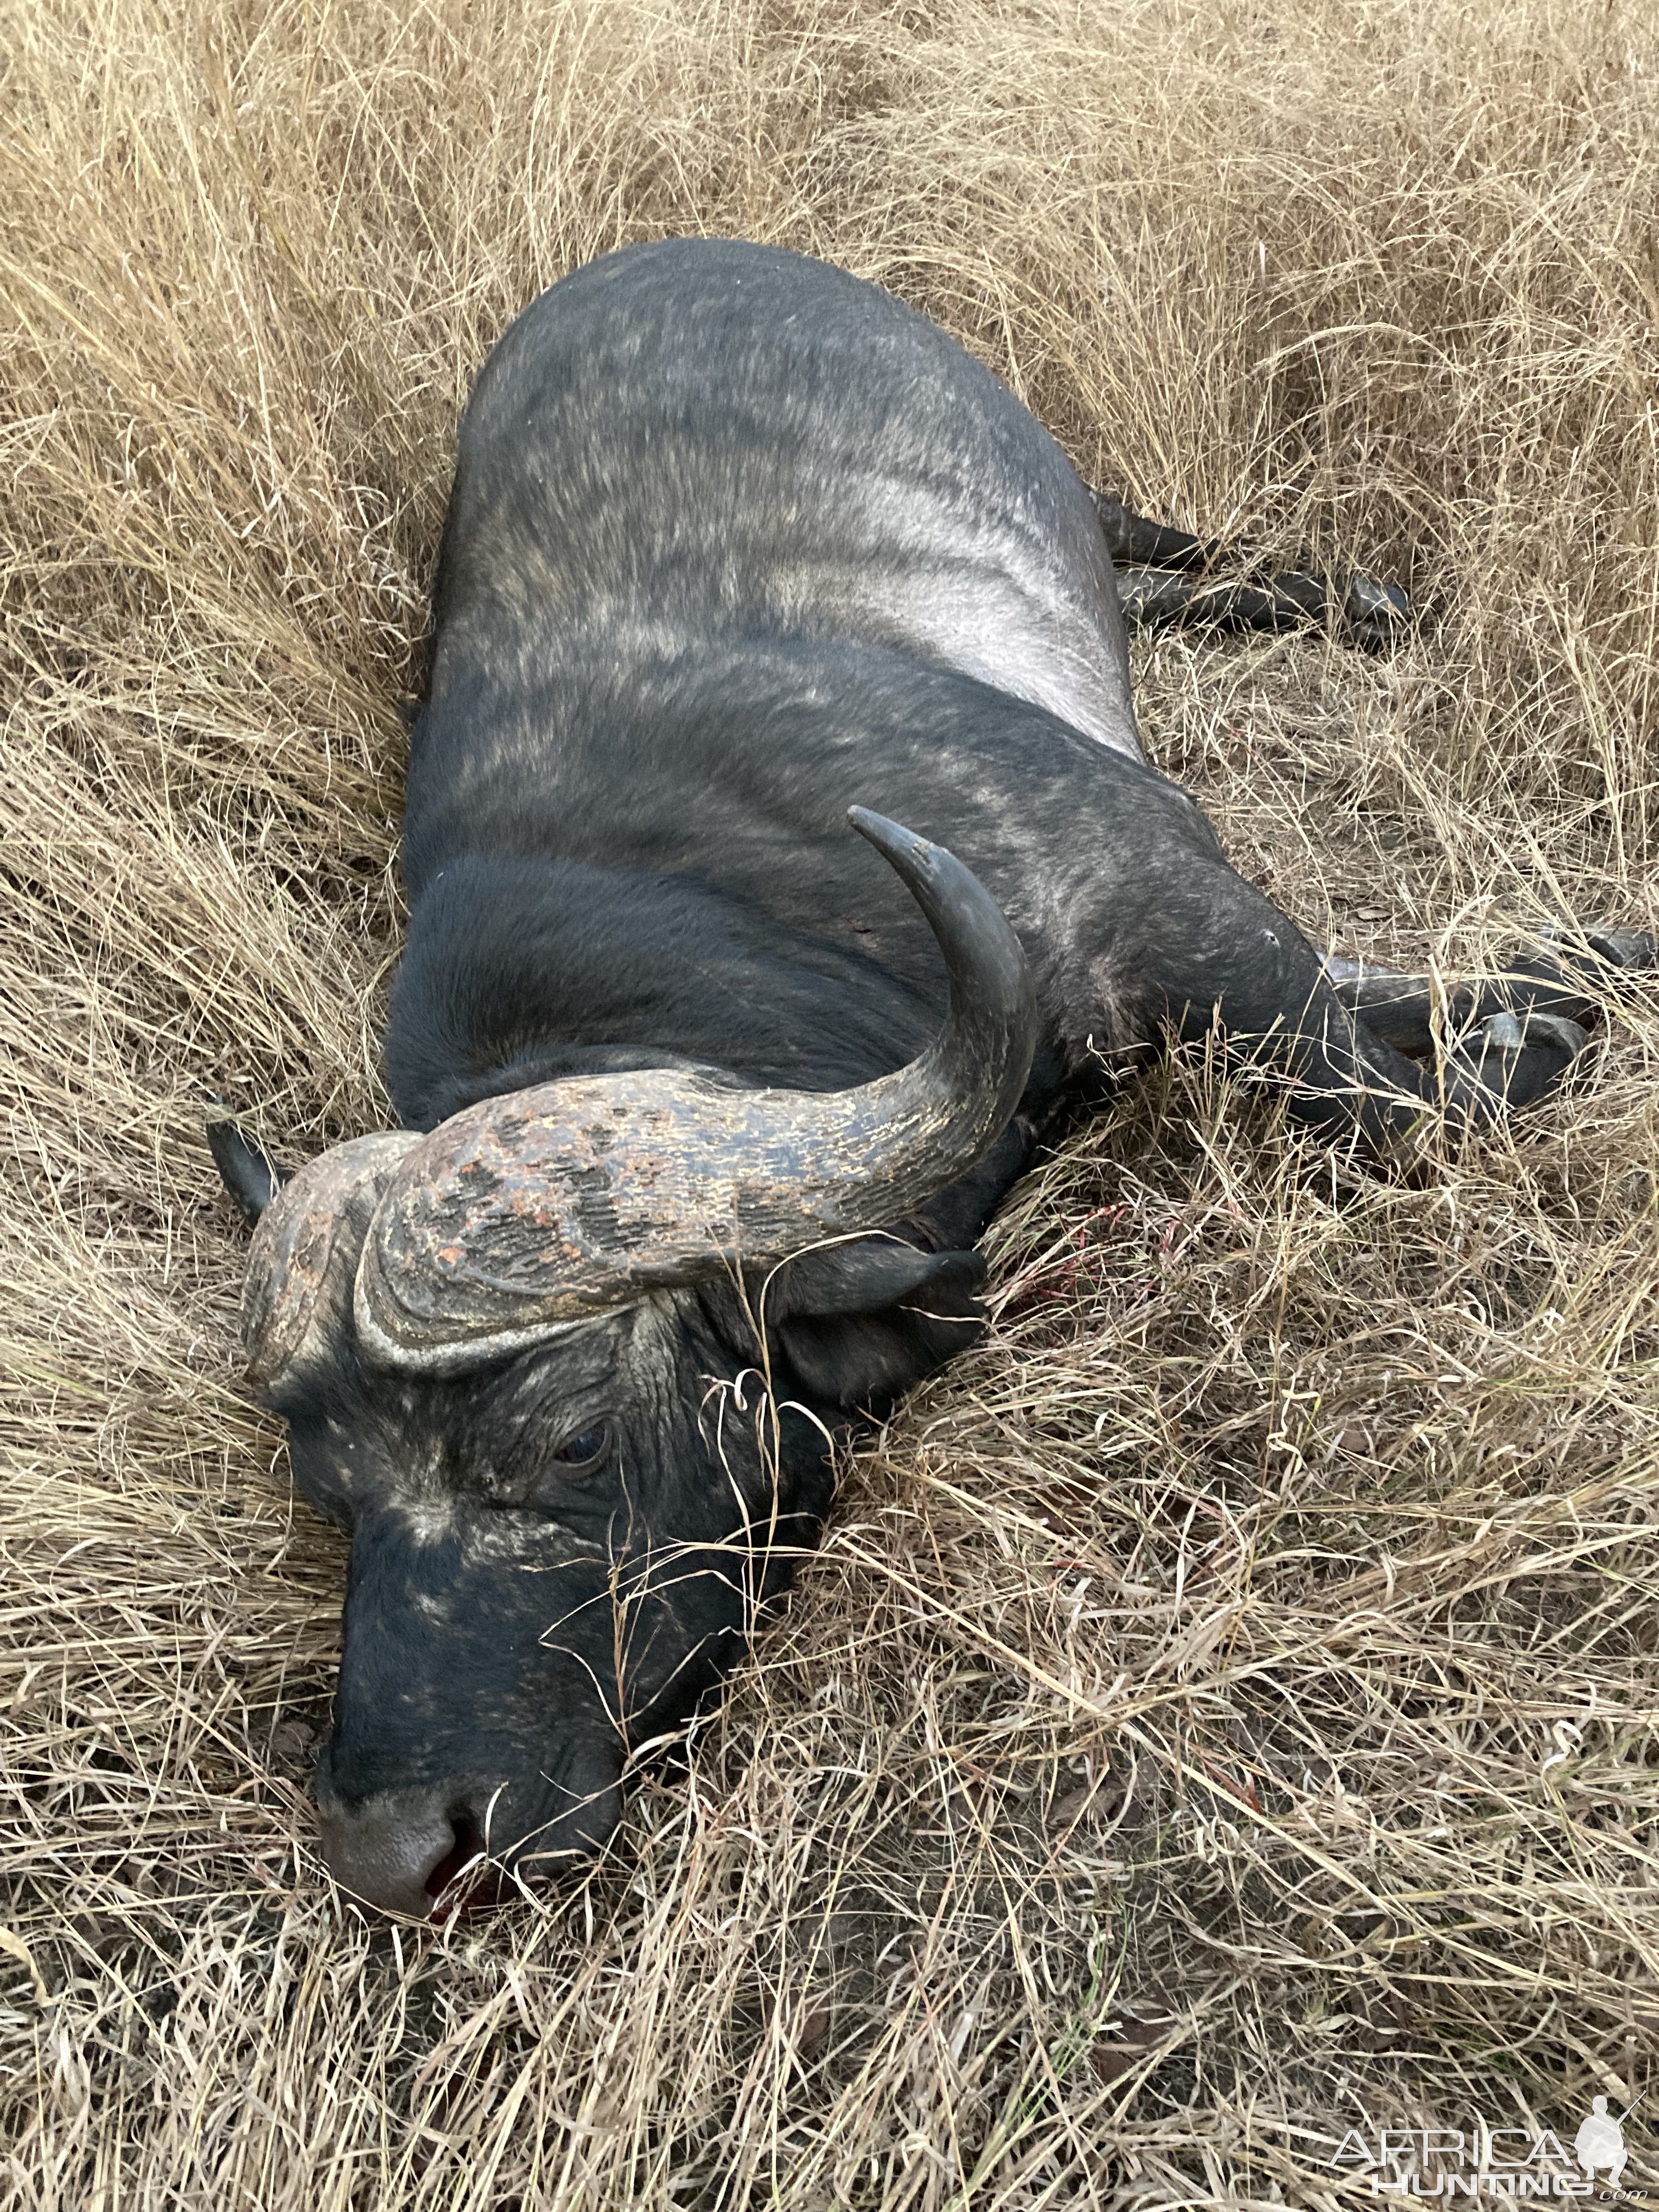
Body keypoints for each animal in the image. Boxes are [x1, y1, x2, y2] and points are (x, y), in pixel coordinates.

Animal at [215, 238, 1654, 1920]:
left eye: (568, 1439)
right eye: (329, 1489)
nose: (393, 1849)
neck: (703, 918)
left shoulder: (1173, 906)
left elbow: (1378, 1089)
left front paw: (1554, 1004)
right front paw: (1550, 994)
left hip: (1073, 486)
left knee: (1157, 538)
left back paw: (1351, 595)